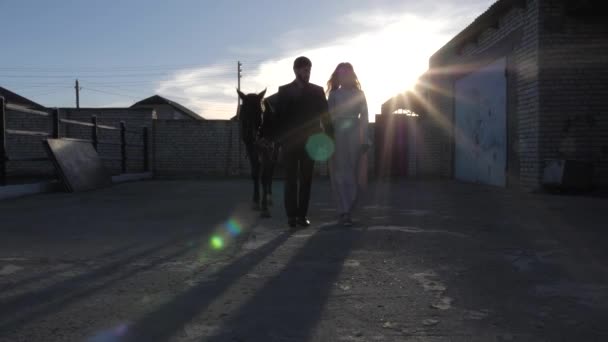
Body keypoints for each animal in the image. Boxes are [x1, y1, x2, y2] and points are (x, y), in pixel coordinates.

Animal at [236, 88, 280, 216]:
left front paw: (264, 206)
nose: (249, 136)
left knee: (270, 172)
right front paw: (256, 201)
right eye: (243, 110)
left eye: (260, 111)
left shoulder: (267, 150)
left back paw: (269, 197)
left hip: (274, 151)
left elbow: (265, 176)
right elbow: (255, 174)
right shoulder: (251, 150)